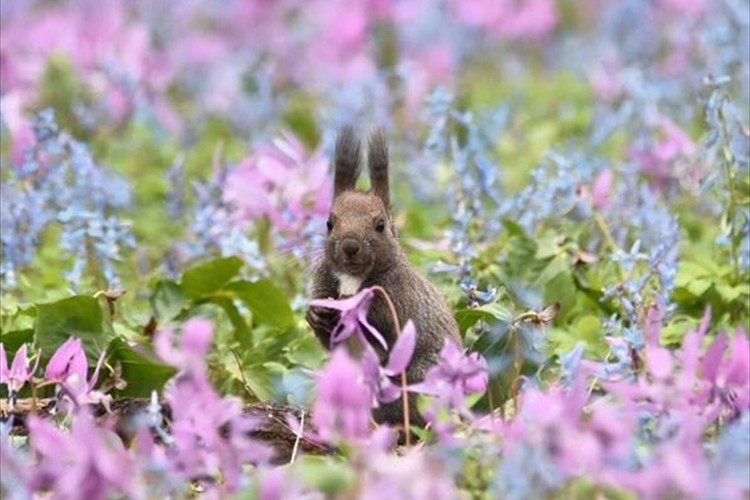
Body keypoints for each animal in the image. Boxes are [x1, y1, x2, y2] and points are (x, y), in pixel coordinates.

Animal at [306, 127, 464, 428]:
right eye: (329, 222)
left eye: (380, 225)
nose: (350, 246)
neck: (353, 279)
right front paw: (316, 315)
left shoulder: (399, 300)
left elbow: (382, 331)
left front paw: (347, 312)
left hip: (421, 380)